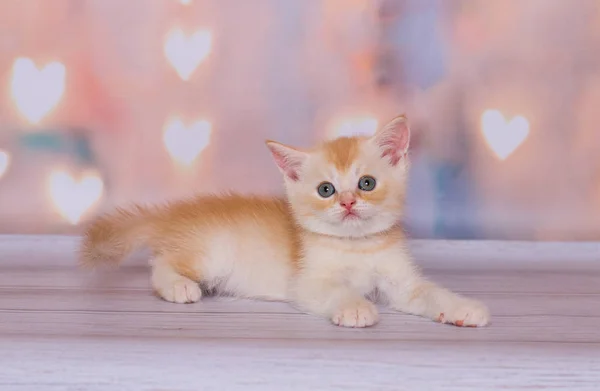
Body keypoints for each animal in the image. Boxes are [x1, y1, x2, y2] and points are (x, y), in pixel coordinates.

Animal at [79, 115, 490, 328]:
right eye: (326, 189)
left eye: (366, 183)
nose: (348, 202)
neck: (357, 246)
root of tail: (173, 212)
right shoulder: (308, 283)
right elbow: (336, 290)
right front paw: (355, 307)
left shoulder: (402, 283)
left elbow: (430, 293)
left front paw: (463, 308)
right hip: (209, 254)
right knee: (160, 261)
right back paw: (179, 287)